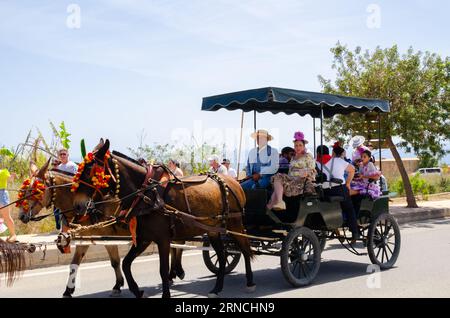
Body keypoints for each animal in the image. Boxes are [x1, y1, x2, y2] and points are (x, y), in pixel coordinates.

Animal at [72, 139, 255, 298]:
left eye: (89, 170)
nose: (78, 206)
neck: (146, 194)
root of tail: (234, 182)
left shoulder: (163, 239)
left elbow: (162, 270)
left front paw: (165, 292)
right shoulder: (144, 238)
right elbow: (126, 263)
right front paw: (137, 290)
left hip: (235, 224)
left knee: (246, 249)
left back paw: (250, 282)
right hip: (213, 230)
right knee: (223, 256)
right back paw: (217, 288)